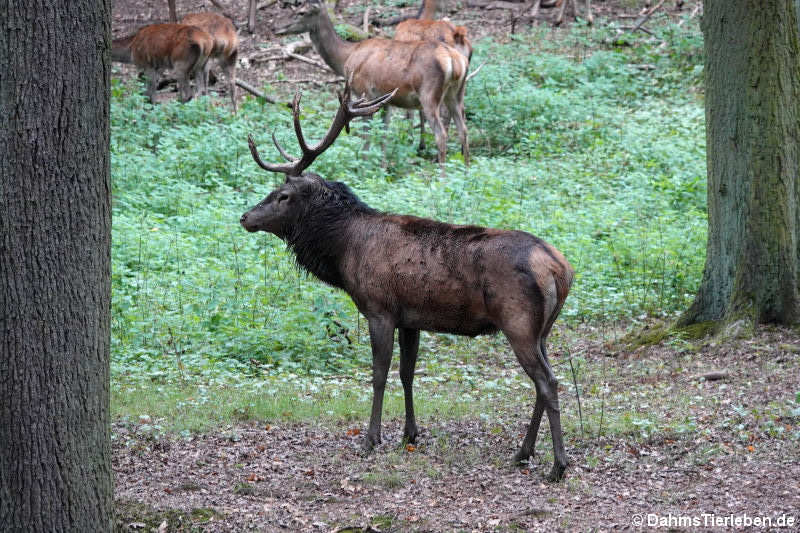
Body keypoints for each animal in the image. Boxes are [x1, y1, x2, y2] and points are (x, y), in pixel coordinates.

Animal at [241, 88, 572, 482]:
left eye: (283, 195)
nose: (245, 217)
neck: (343, 251)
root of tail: (560, 269)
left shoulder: (379, 308)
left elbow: (379, 375)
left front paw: (371, 439)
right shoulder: (411, 318)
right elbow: (407, 373)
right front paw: (409, 433)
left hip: (518, 322)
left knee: (548, 383)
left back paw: (557, 465)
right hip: (542, 330)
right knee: (544, 381)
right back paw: (523, 452)